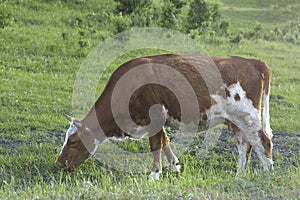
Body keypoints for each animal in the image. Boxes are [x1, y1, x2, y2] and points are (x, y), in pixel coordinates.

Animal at [55, 53, 274, 180]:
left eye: (72, 141)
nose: (59, 163)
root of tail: (254, 62)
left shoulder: (155, 117)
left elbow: (155, 145)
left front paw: (154, 175)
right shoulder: (160, 119)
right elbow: (165, 140)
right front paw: (175, 167)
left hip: (248, 116)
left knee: (263, 141)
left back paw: (267, 174)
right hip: (236, 121)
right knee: (245, 145)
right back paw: (239, 174)